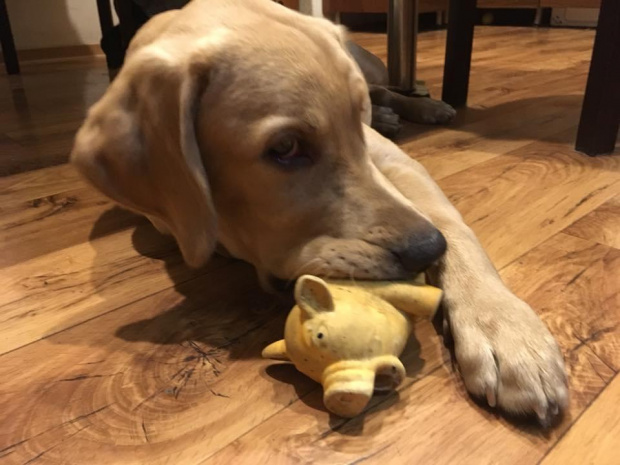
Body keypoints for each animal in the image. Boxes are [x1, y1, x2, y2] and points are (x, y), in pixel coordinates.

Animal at [71, 0, 567, 423]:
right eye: (286, 148)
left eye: (354, 127)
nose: (427, 250)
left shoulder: (392, 163)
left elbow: (455, 227)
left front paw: (505, 330)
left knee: (386, 87)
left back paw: (420, 105)